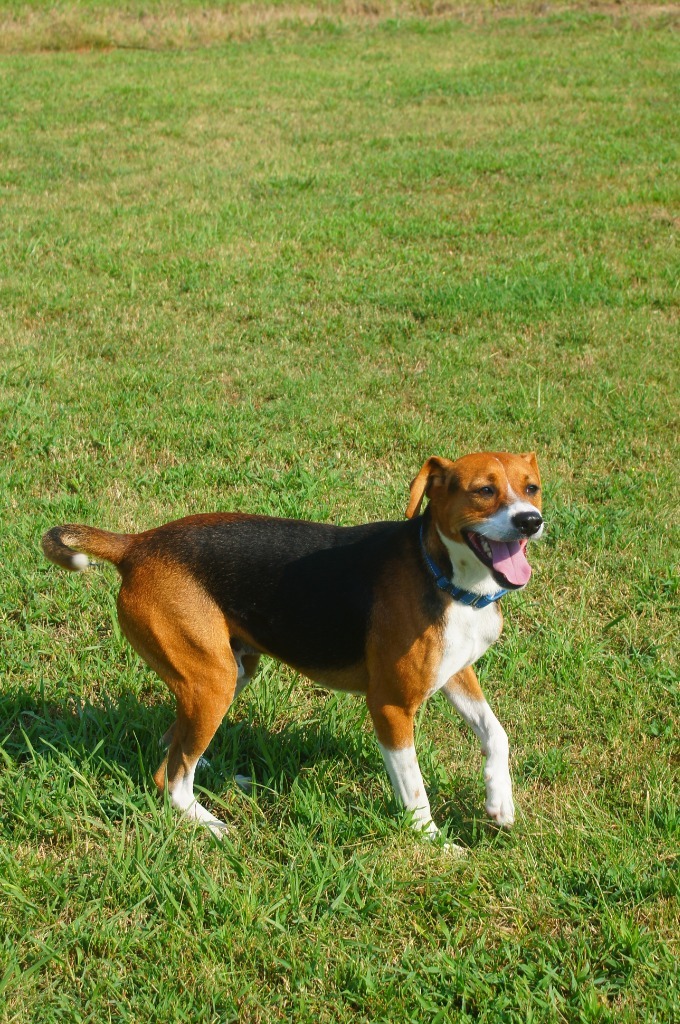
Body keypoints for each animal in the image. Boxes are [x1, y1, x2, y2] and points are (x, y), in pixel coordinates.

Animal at [41, 452, 540, 843]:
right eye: (483, 491)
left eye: (531, 488)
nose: (531, 521)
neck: (442, 572)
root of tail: (137, 545)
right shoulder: (391, 706)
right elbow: (415, 791)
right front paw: (435, 844)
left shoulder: (456, 672)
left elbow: (496, 734)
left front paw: (500, 803)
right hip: (212, 680)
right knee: (172, 776)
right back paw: (210, 823)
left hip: (228, 672)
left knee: (173, 749)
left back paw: (217, 774)